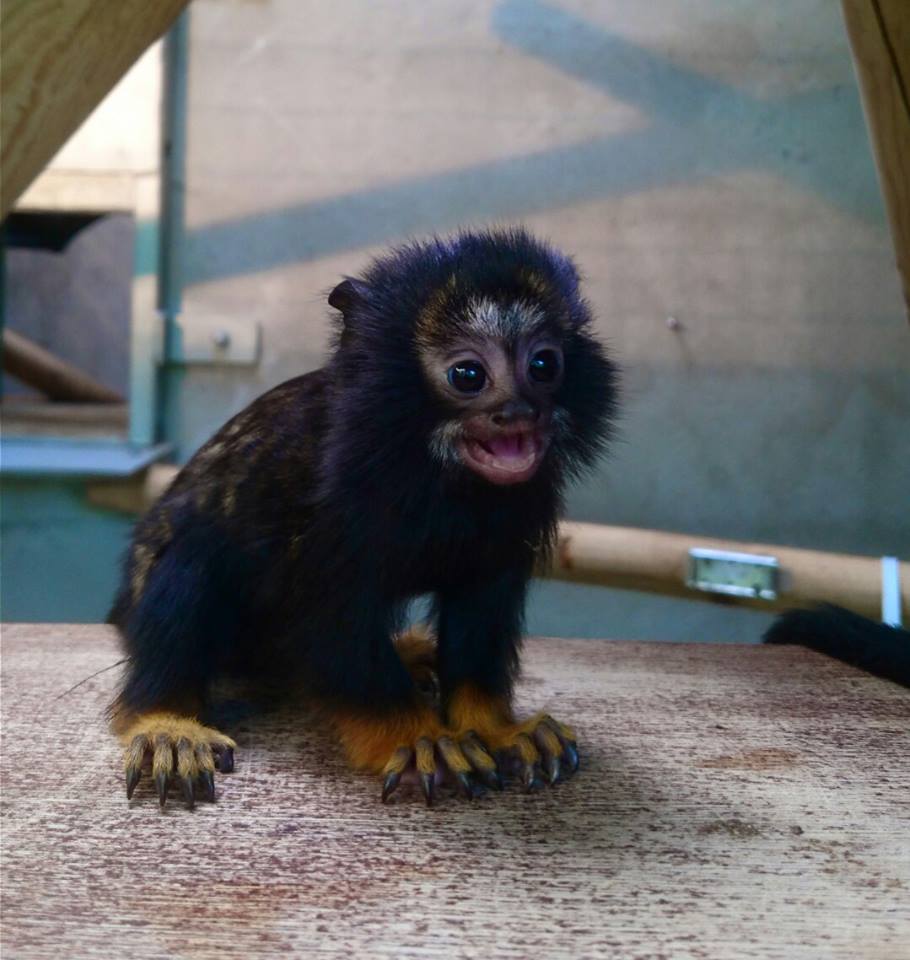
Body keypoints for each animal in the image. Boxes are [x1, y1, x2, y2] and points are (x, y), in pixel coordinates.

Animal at [108, 229, 620, 808]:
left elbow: (482, 607)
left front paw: (498, 728)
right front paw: (422, 739)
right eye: (468, 375)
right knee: (188, 565)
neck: (434, 471)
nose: (518, 413)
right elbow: (329, 621)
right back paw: (165, 720)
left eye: (543, 366)